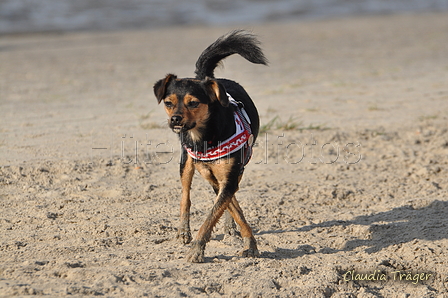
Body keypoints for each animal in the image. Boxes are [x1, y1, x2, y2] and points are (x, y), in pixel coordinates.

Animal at [152, 30, 268, 262]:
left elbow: (218, 211)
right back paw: (183, 230)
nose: (175, 119)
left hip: (237, 169)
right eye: (168, 103)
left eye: (193, 103)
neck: (204, 136)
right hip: (186, 163)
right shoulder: (210, 175)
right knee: (185, 196)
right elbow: (230, 209)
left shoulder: (229, 177)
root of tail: (208, 78)